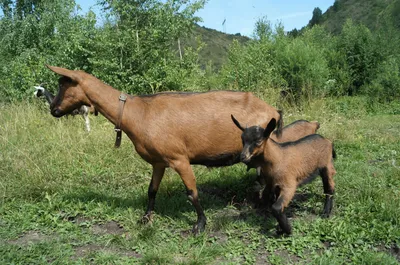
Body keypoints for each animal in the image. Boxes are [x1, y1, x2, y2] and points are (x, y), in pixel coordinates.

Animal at [47, 65, 282, 232]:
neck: (138, 112)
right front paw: (146, 217)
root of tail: (274, 111)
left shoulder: (179, 159)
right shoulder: (158, 162)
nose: (53, 110)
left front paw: (200, 224)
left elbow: (192, 193)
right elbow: (152, 190)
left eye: (63, 85)